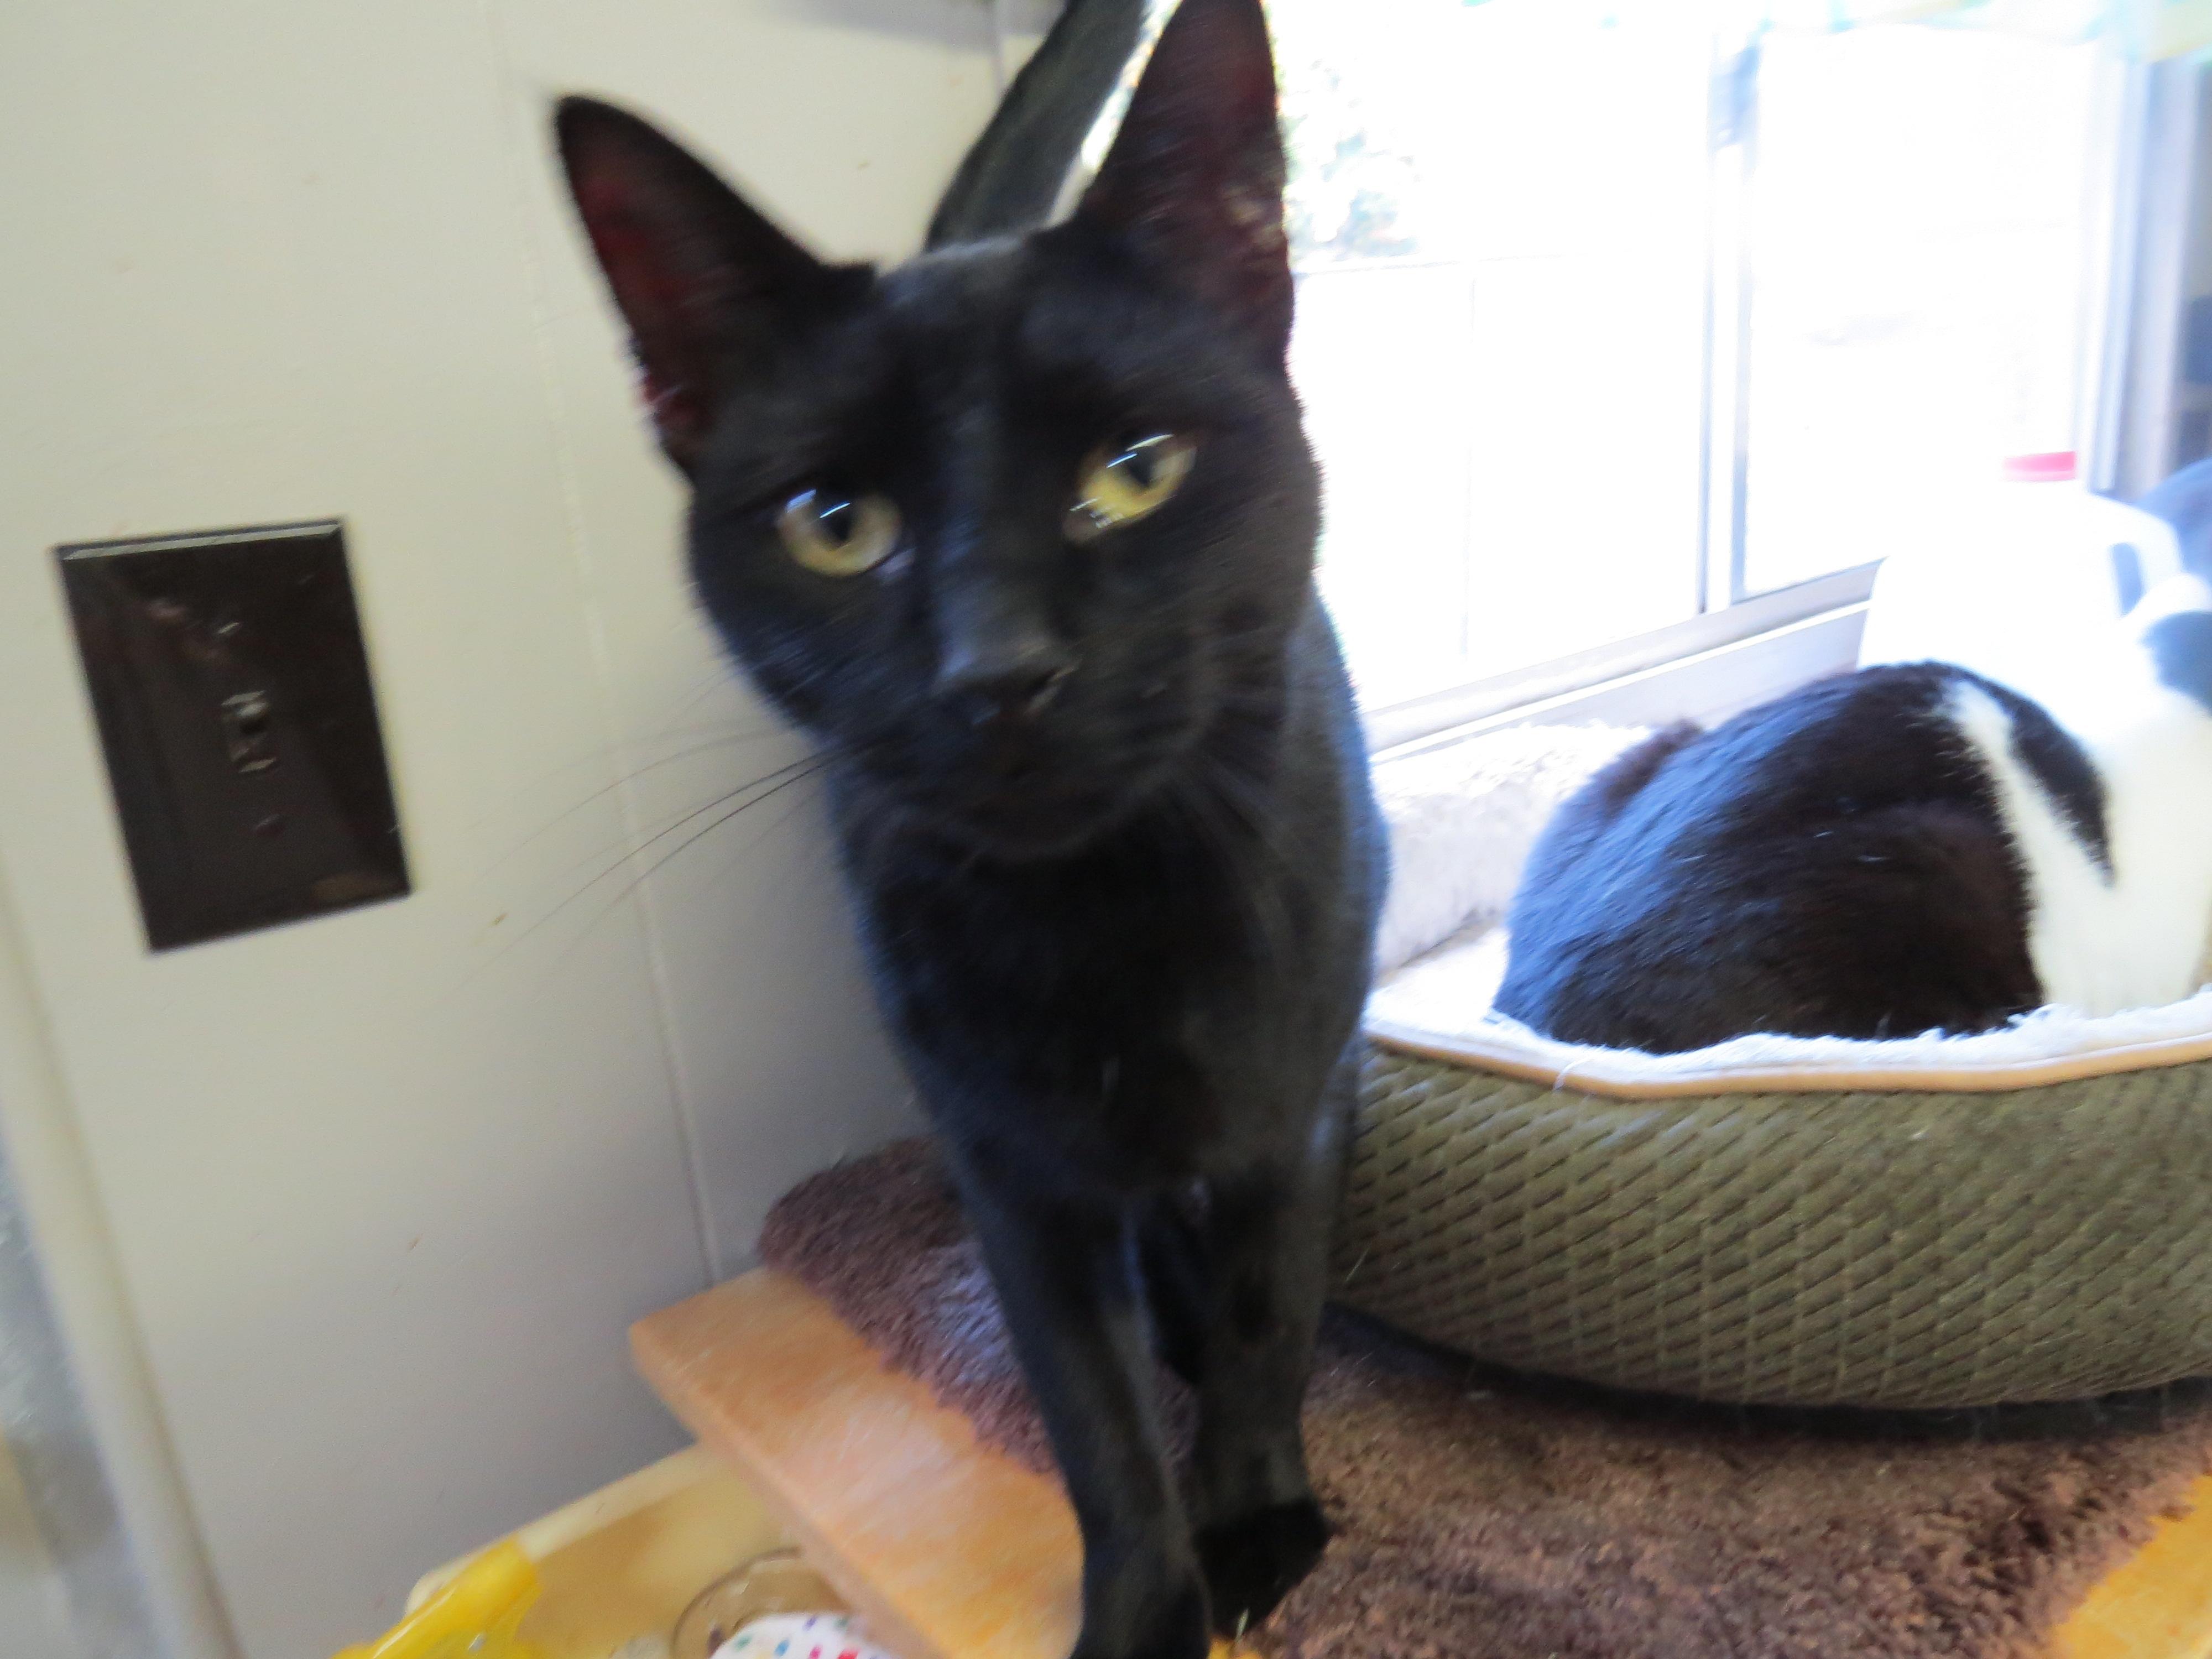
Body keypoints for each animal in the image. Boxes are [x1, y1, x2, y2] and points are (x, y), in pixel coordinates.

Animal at [553, 3, 1380, 1659]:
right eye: (834, 524)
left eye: (1137, 471)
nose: (997, 671)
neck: (1106, 922)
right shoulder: (1015, 1176)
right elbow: (1095, 1422)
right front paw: (1145, 1607)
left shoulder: (1293, 1109)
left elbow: (1267, 1318)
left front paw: (1258, 1524)